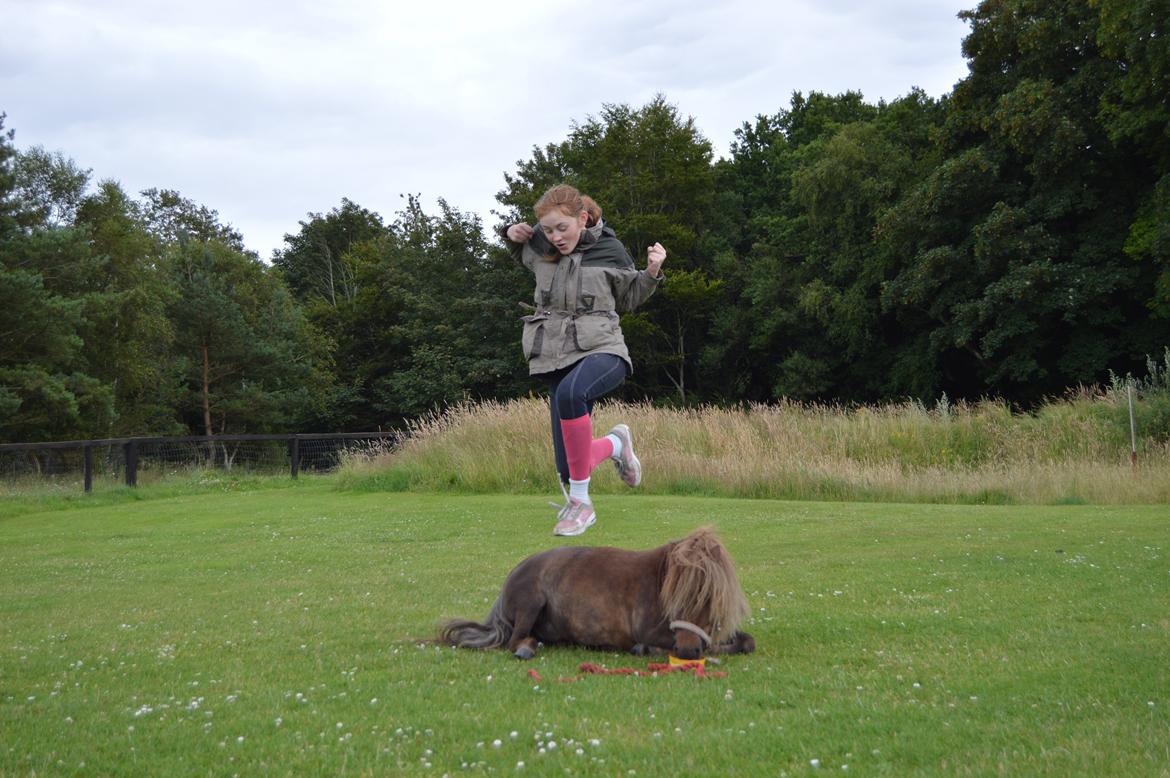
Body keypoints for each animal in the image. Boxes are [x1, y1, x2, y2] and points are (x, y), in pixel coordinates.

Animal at [439, 524, 758, 659]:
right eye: (678, 600)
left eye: (709, 601)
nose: (688, 652)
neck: (658, 579)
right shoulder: (649, 630)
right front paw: (644, 649)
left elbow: (747, 641)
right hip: (531, 603)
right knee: (515, 640)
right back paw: (526, 648)